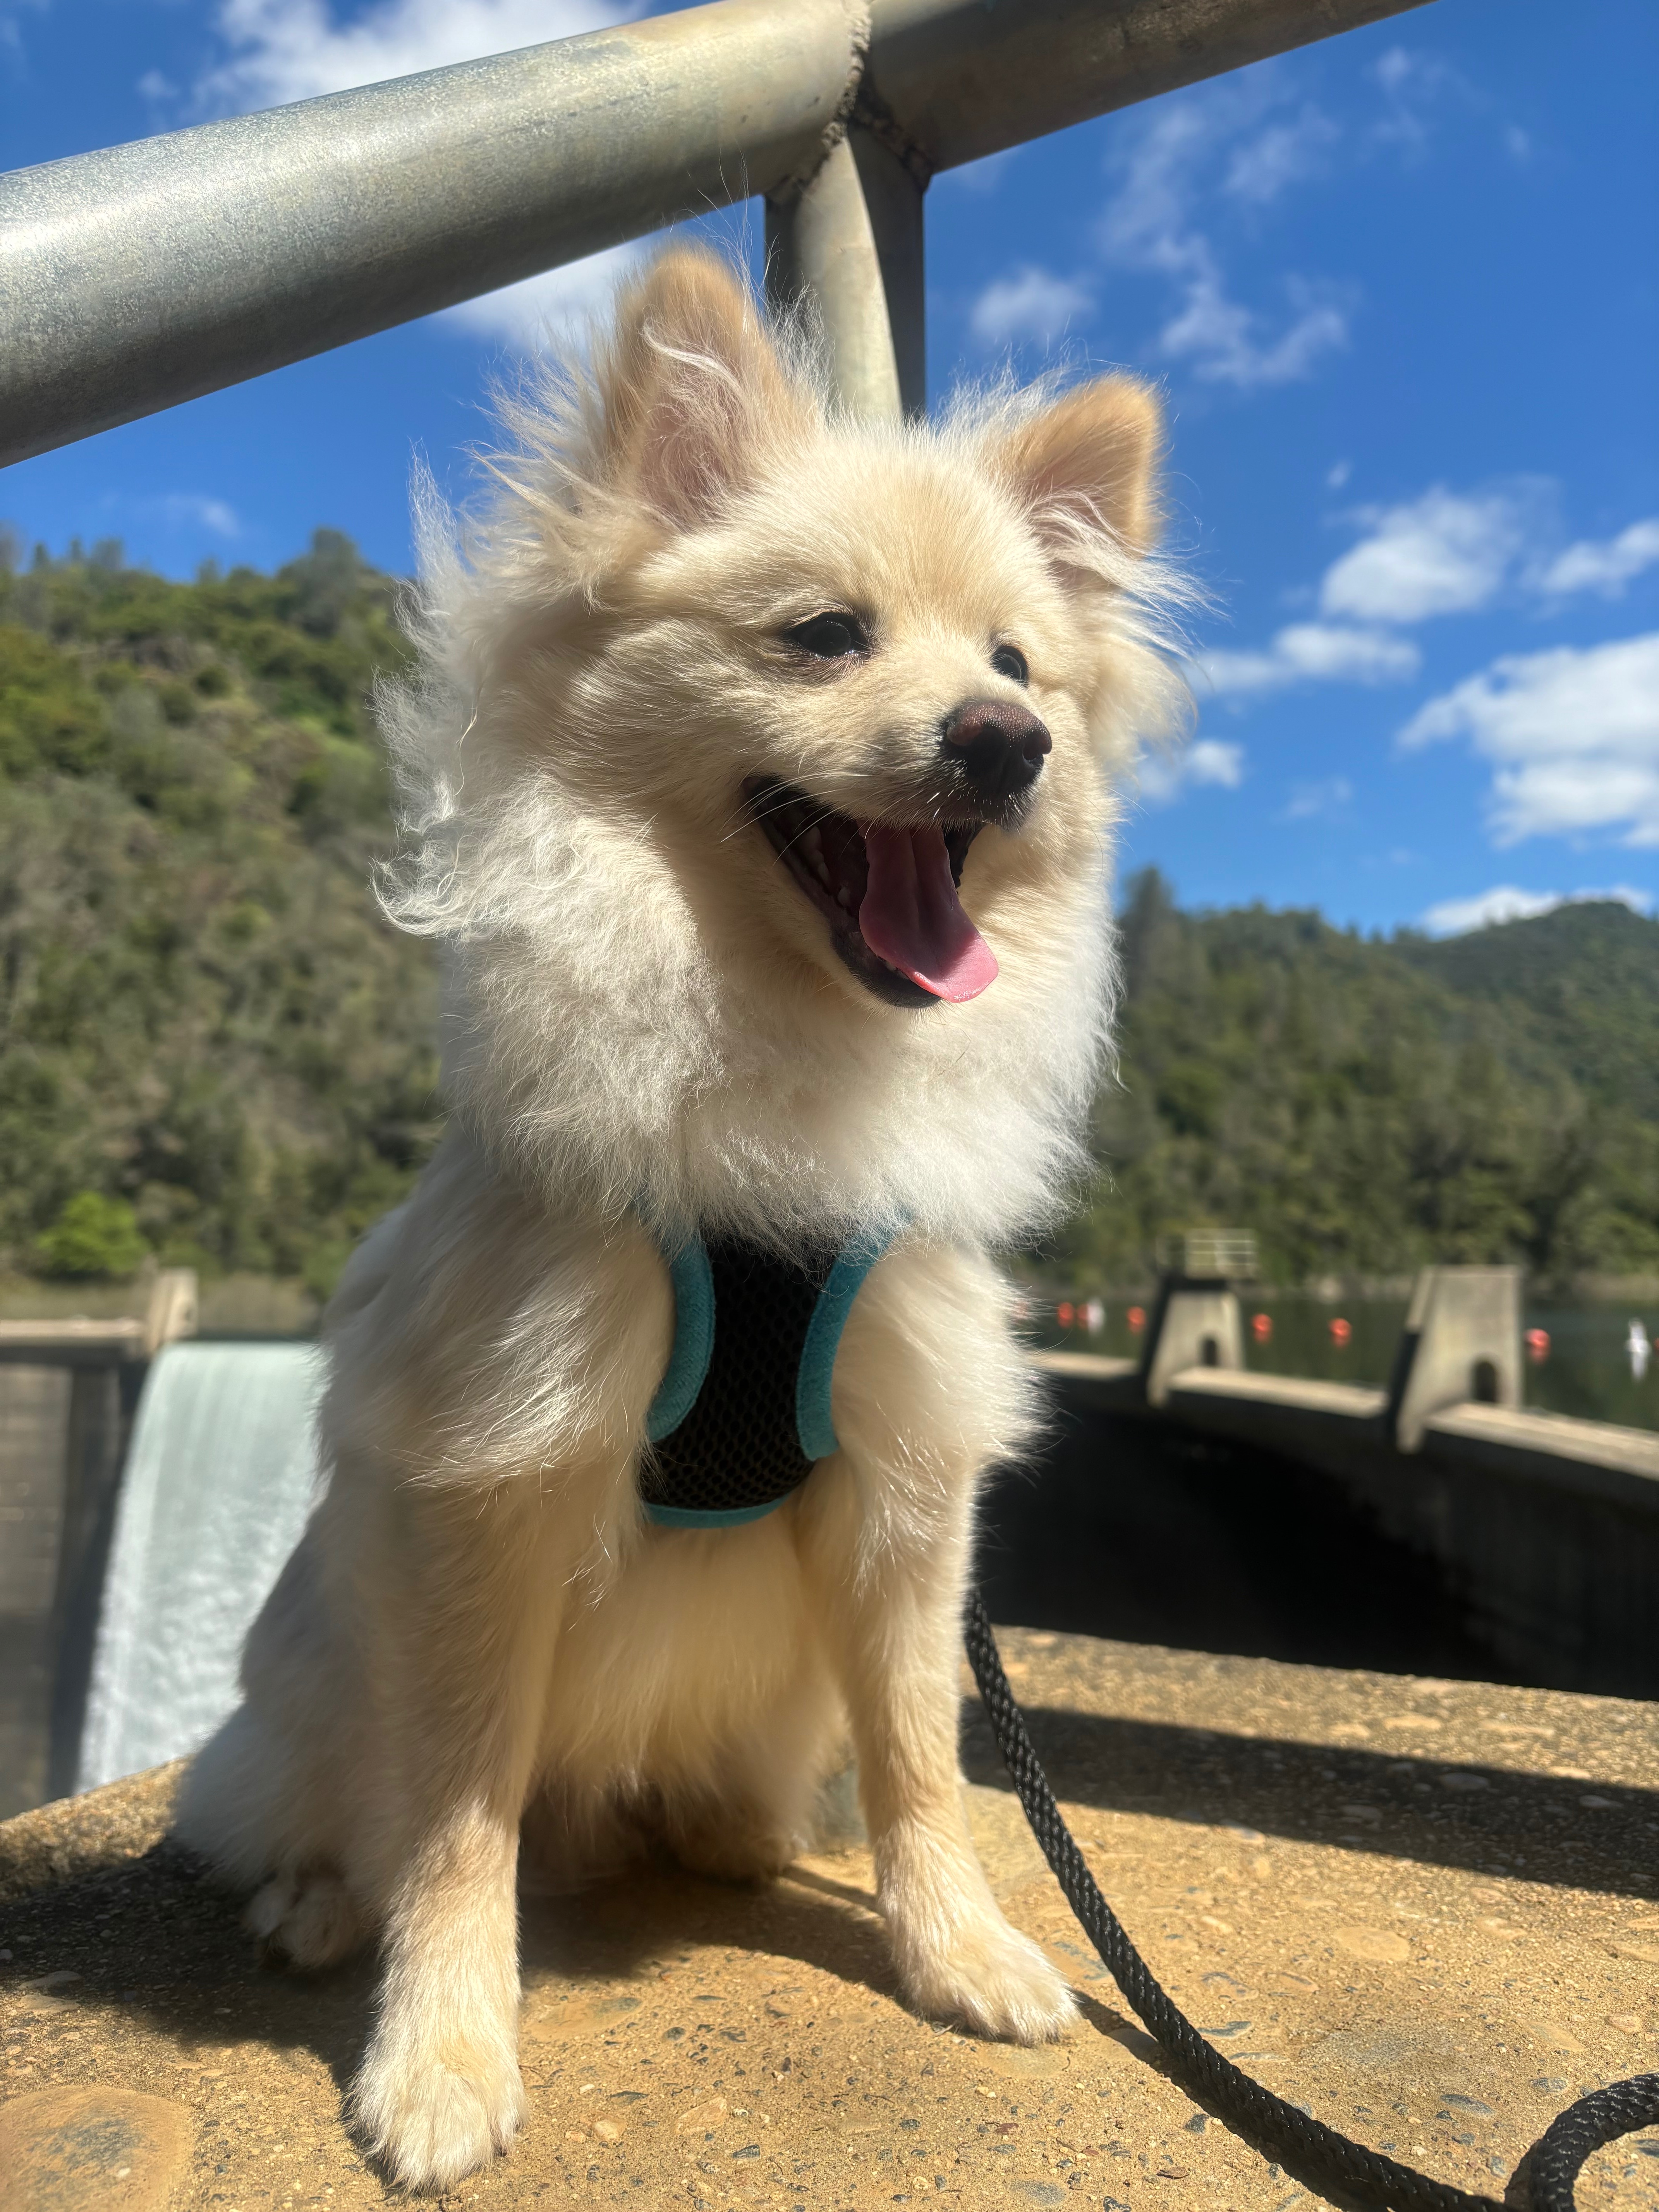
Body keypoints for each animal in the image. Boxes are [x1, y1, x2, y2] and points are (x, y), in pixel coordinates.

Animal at [174, 248, 1185, 2191]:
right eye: (824, 637)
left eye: (1019, 665)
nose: (1006, 743)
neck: (782, 1065)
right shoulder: (500, 1473)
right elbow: (459, 1819)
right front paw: (441, 2055)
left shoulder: (905, 1477)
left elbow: (926, 1756)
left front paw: (955, 1948)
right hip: (315, 1677)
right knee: (328, 1806)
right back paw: (318, 1905)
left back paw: (735, 1839)